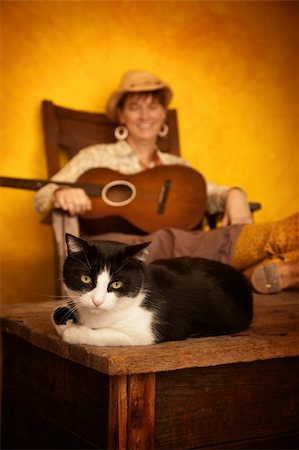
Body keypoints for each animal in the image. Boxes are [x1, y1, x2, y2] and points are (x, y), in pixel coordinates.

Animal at [52, 234, 254, 346]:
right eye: (85, 278)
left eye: (116, 284)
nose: (97, 301)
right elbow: (56, 313)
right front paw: (67, 321)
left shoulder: (147, 331)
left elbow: (108, 335)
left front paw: (74, 332)